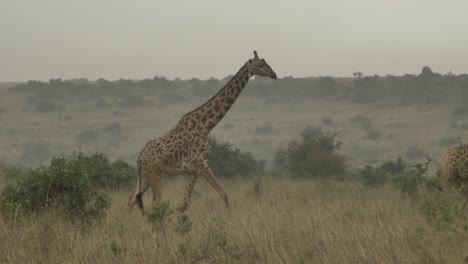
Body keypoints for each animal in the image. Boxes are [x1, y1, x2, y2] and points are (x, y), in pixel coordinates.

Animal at [127, 50, 278, 213]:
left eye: (266, 62)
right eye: (260, 65)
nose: (274, 74)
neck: (206, 126)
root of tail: (139, 157)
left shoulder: (192, 171)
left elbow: (184, 204)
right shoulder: (201, 163)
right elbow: (223, 194)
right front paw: (229, 216)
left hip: (145, 176)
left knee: (132, 198)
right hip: (156, 174)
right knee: (155, 201)